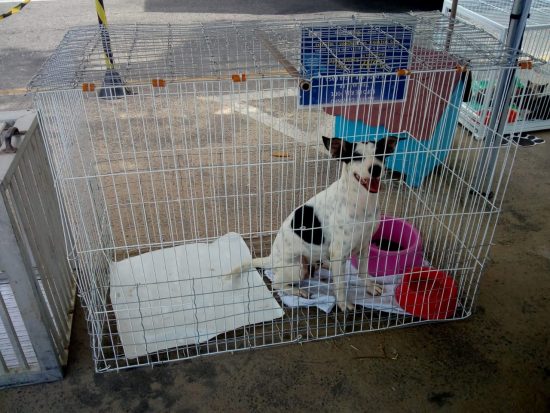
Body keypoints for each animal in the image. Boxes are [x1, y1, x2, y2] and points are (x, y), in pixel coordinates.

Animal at [226, 135, 398, 312]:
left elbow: (363, 271)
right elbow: (340, 284)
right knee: (277, 283)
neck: (361, 200)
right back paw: (299, 291)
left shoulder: (364, 246)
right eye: (356, 156)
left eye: (381, 154)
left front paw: (369, 286)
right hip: (297, 267)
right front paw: (343, 304)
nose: (376, 169)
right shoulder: (338, 251)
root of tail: (271, 257)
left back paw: (325, 264)